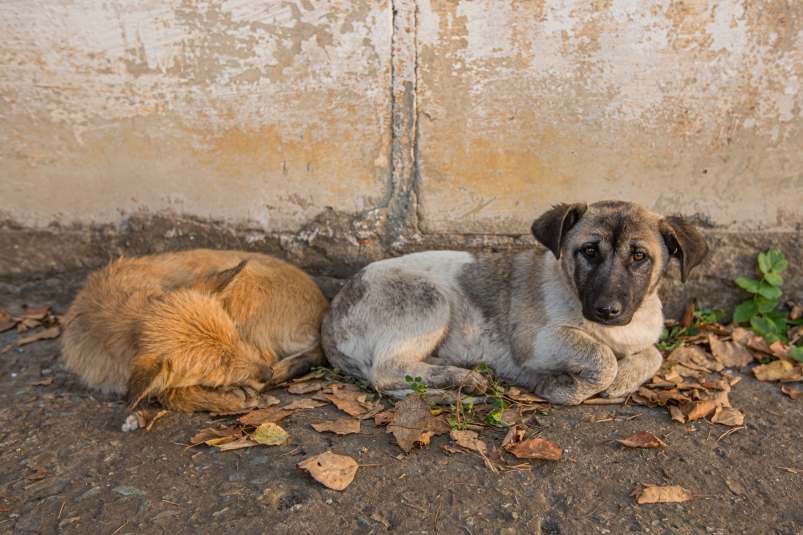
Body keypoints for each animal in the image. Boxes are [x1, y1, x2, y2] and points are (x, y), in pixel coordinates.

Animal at [59, 251, 330, 414]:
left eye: (236, 337)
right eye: (219, 365)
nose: (267, 374)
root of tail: (322, 309)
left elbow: (168, 394)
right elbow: (168, 392)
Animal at [322, 203, 708, 404]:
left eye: (640, 256)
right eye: (589, 251)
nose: (607, 310)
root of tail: (330, 316)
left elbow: (653, 355)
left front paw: (625, 378)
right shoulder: (535, 341)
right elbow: (602, 358)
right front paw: (566, 388)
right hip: (428, 299)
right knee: (385, 370)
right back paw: (464, 378)